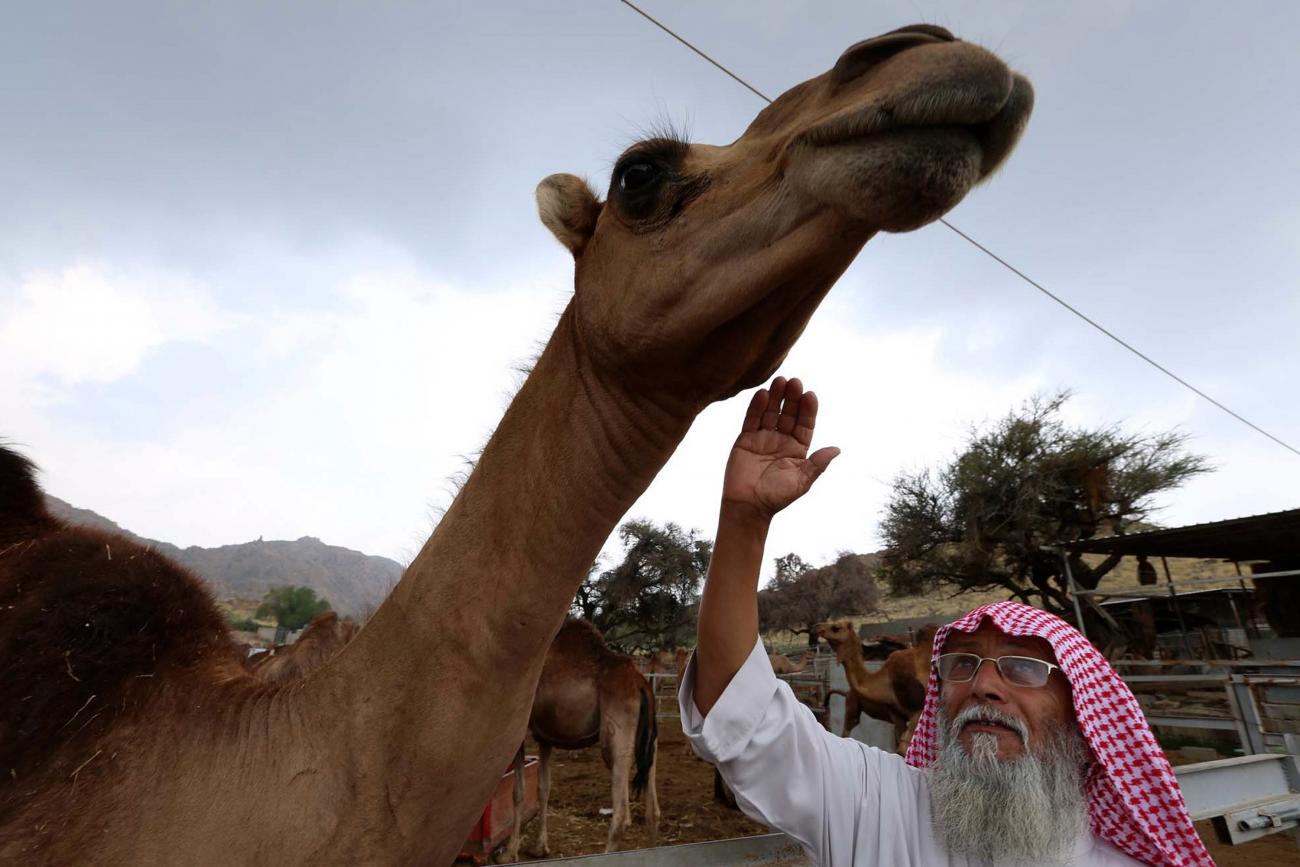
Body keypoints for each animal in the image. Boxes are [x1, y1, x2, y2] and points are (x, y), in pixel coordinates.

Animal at [499, 621, 655, 857]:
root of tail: (640, 684)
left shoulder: (521, 731)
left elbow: (518, 792)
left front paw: (509, 853)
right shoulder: (545, 736)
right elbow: (543, 788)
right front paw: (540, 848)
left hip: (615, 735)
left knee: (621, 814)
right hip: (649, 738)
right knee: (653, 812)